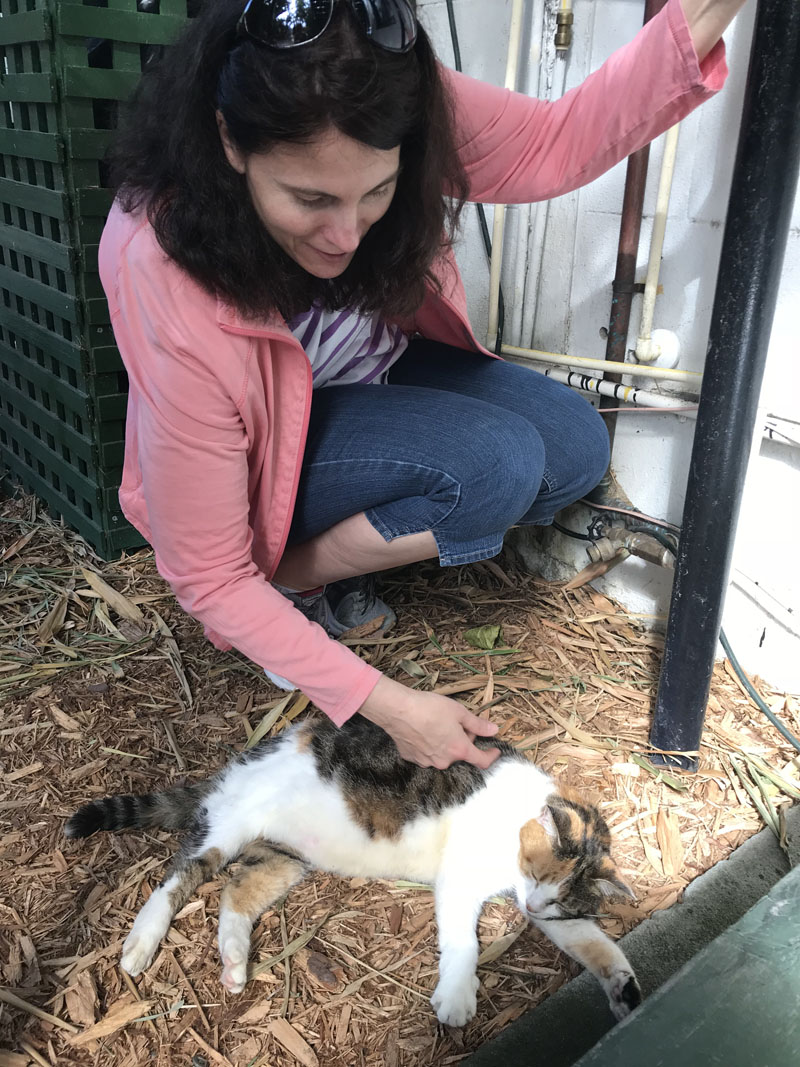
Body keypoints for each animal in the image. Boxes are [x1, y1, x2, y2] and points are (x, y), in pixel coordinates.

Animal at [67, 712, 644, 1028]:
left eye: (559, 898)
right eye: (536, 871)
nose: (532, 905)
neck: (516, 815)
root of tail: (232, 772)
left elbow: (596, 945)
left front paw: (626, 992)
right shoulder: (461, 880)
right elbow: (464, 941)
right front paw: (458, 998)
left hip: (282, 856)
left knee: (236, 895)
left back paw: (233, 962)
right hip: (228, 829)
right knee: (180, 874)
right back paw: (141, 942)